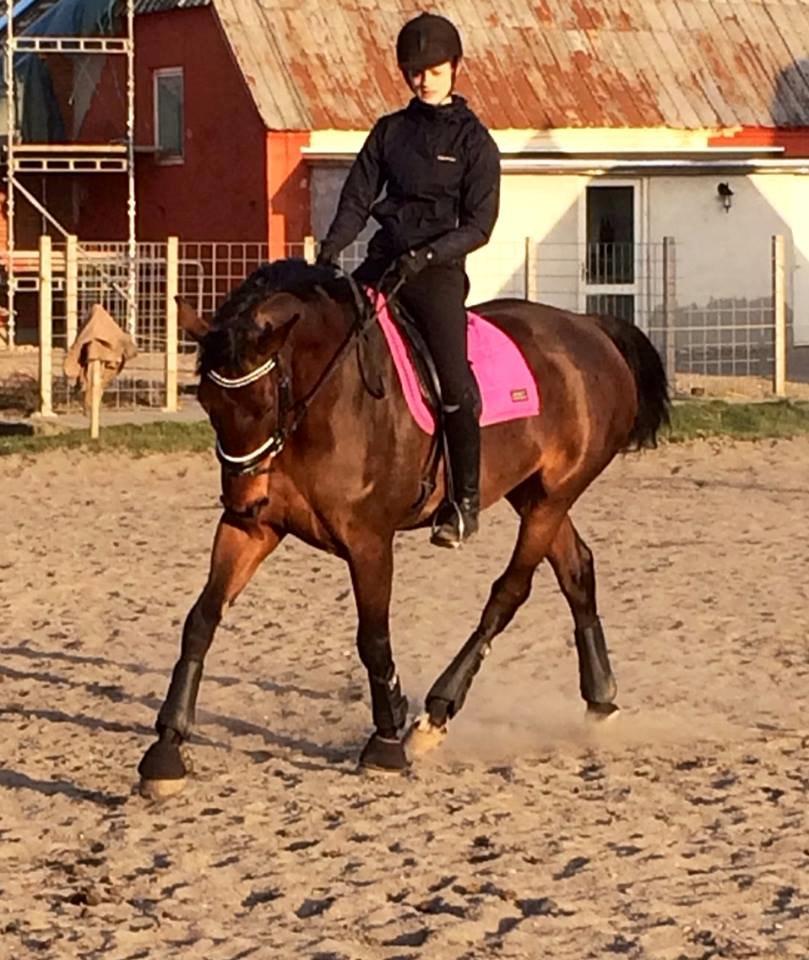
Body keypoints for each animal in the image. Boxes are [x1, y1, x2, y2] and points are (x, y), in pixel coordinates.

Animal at [137, 259, 669, 799]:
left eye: (266, 402)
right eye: (207, 403)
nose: (243, 500)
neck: (326, 400)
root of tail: (590, 329)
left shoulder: (369, 541)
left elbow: (373, 638)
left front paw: (386, 745)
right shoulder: (254, 529)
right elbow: (202, 619)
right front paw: (165, 750)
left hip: (552, 498)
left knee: (510, 591)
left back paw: (435, 716)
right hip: (534, 495)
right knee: (577, 569)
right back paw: (601, 701)